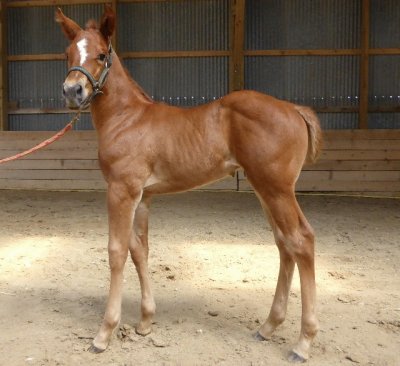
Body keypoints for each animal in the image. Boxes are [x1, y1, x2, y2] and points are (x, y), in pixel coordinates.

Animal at [56, 6, 322, 364]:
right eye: (68, 53)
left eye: (100, 54)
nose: (73, 92)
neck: (127, 118)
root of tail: (293, 108)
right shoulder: (143, 197)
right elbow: (140, 250)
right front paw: (145, 322)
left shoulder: (121, 191)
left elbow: (116, 251)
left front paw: (104, 333)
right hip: (265, 190)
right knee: (284, 244)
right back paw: (268, 327)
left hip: (277, 190)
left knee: (301, 240)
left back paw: (302, 343)